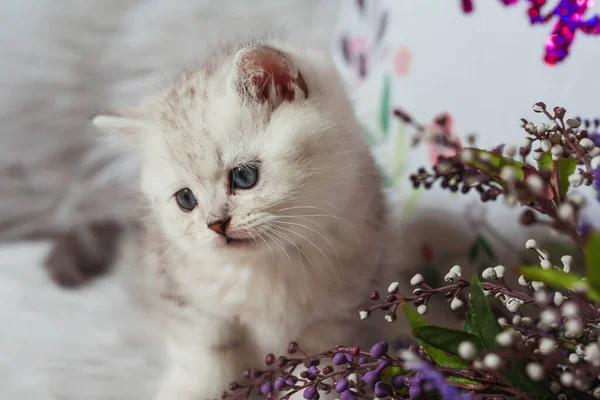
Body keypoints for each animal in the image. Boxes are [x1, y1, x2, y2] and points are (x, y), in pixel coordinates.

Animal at [94, 39, 390, 400]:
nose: (215, 225)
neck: (270, 269)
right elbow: (205, 362)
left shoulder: (335, 316)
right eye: (185, 199)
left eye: (244, 176)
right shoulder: (190, 305)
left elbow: (319, 369)